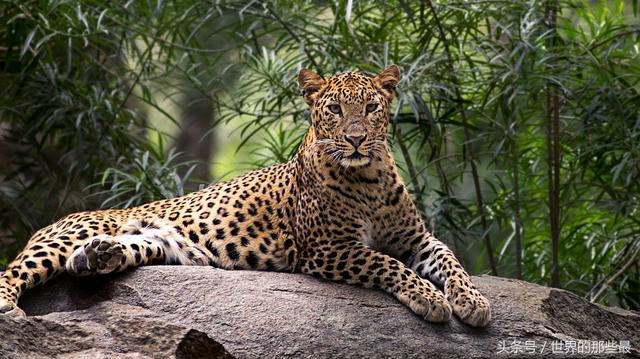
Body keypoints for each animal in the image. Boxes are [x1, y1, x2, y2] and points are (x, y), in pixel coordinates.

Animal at [0, 65, 490, 330]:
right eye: (334, 110)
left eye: (370, 108)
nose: (355, 139)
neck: (367, 176)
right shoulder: (326, 249)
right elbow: (385, 263)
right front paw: (429, 298)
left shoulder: (416, 239)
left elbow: (451, 260)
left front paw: (474, 302)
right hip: (67, 234)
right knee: (14, 269)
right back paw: (11, 304)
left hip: (155, 246)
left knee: (88, 261)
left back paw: (98, 257)